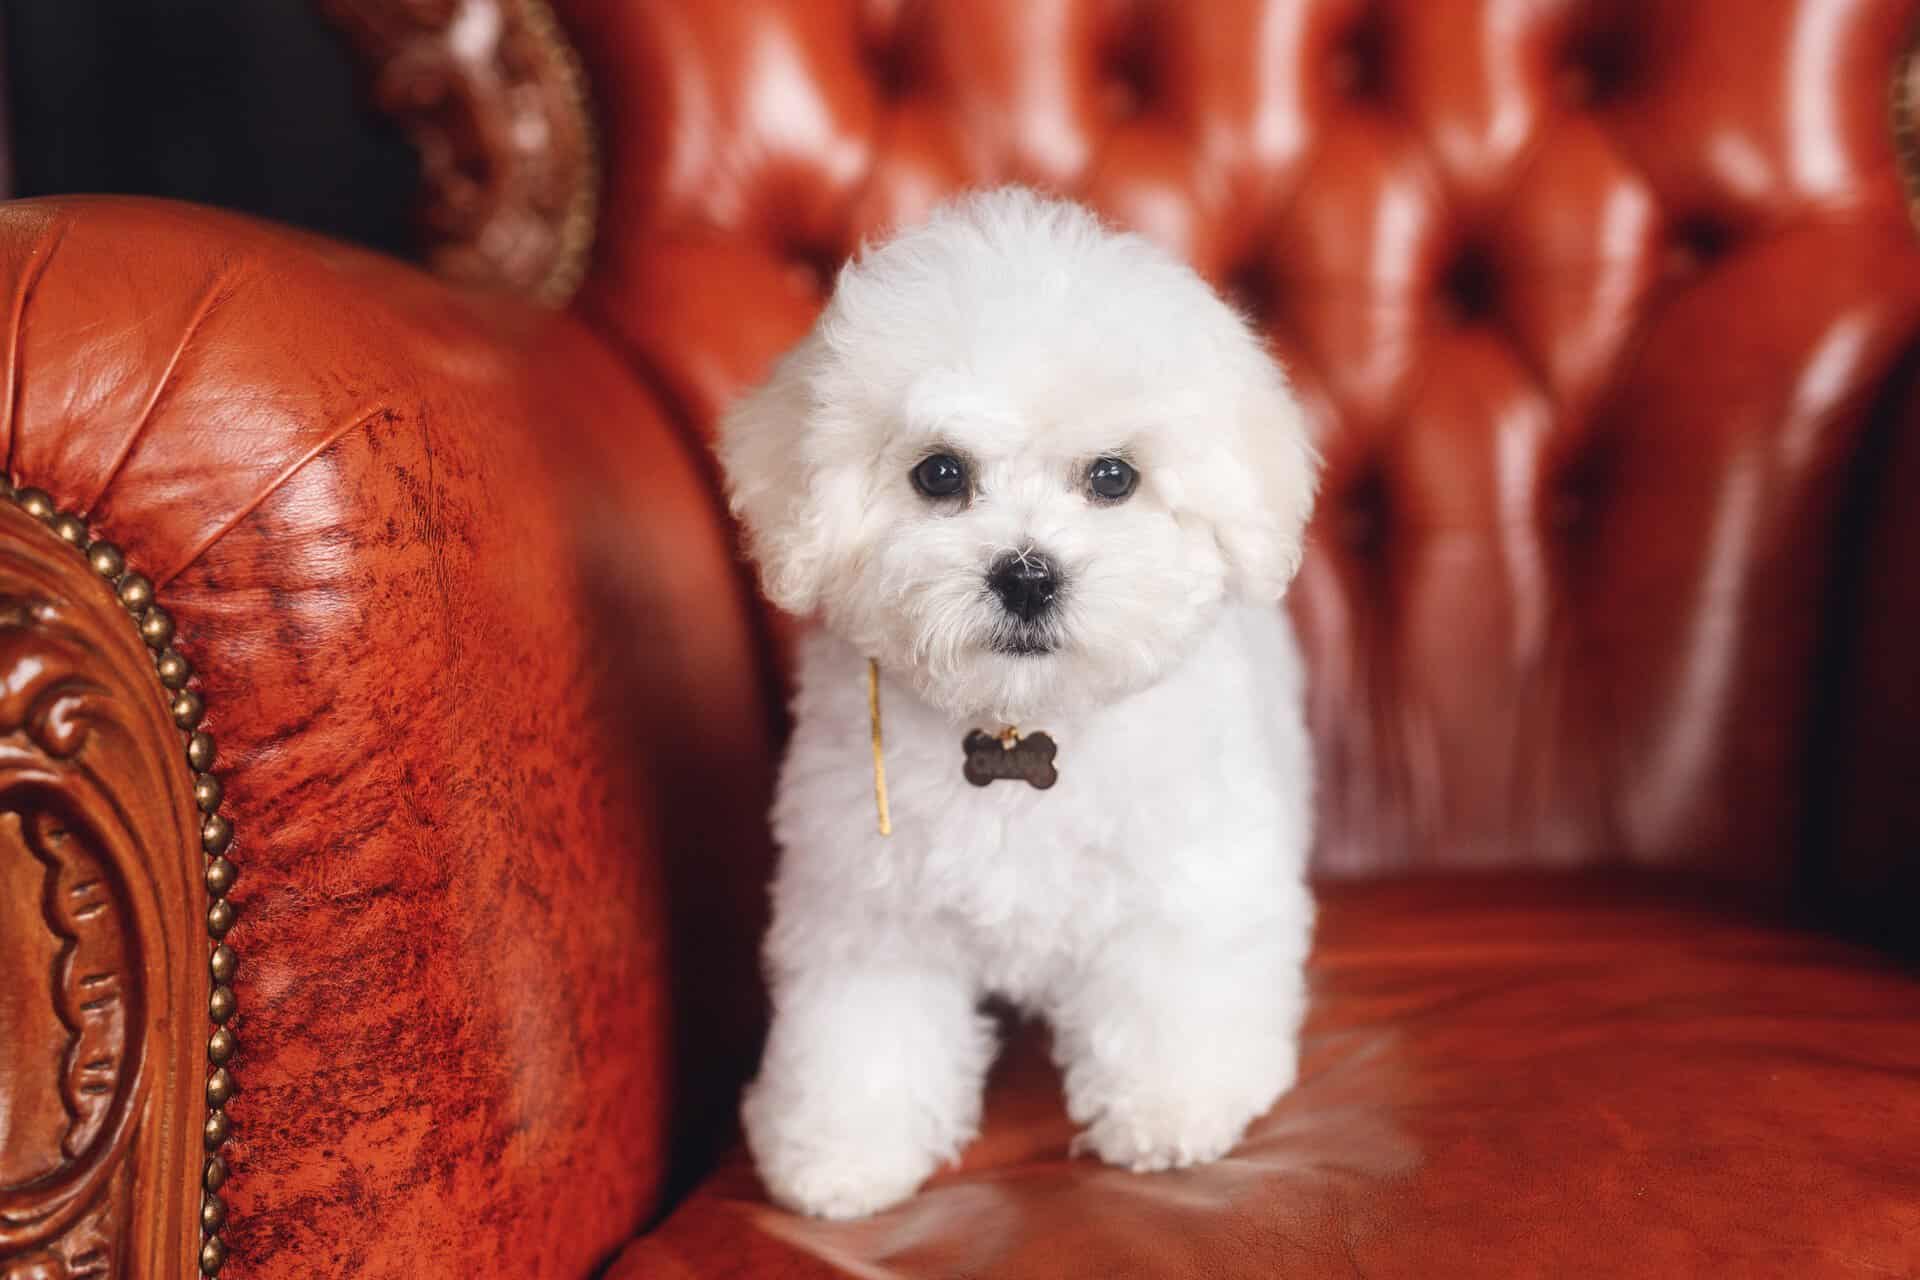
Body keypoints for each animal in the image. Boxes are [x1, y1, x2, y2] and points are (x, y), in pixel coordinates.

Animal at [721, 185, 1320, 1220]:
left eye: (1114, 476)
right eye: (939, 473)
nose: (1028, 575)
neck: (1018, 721)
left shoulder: (1188, 869)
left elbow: (1176, 975)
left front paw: (1172, 1106)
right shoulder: (866, 904)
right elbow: (862, 1027)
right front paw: (842, 1152)